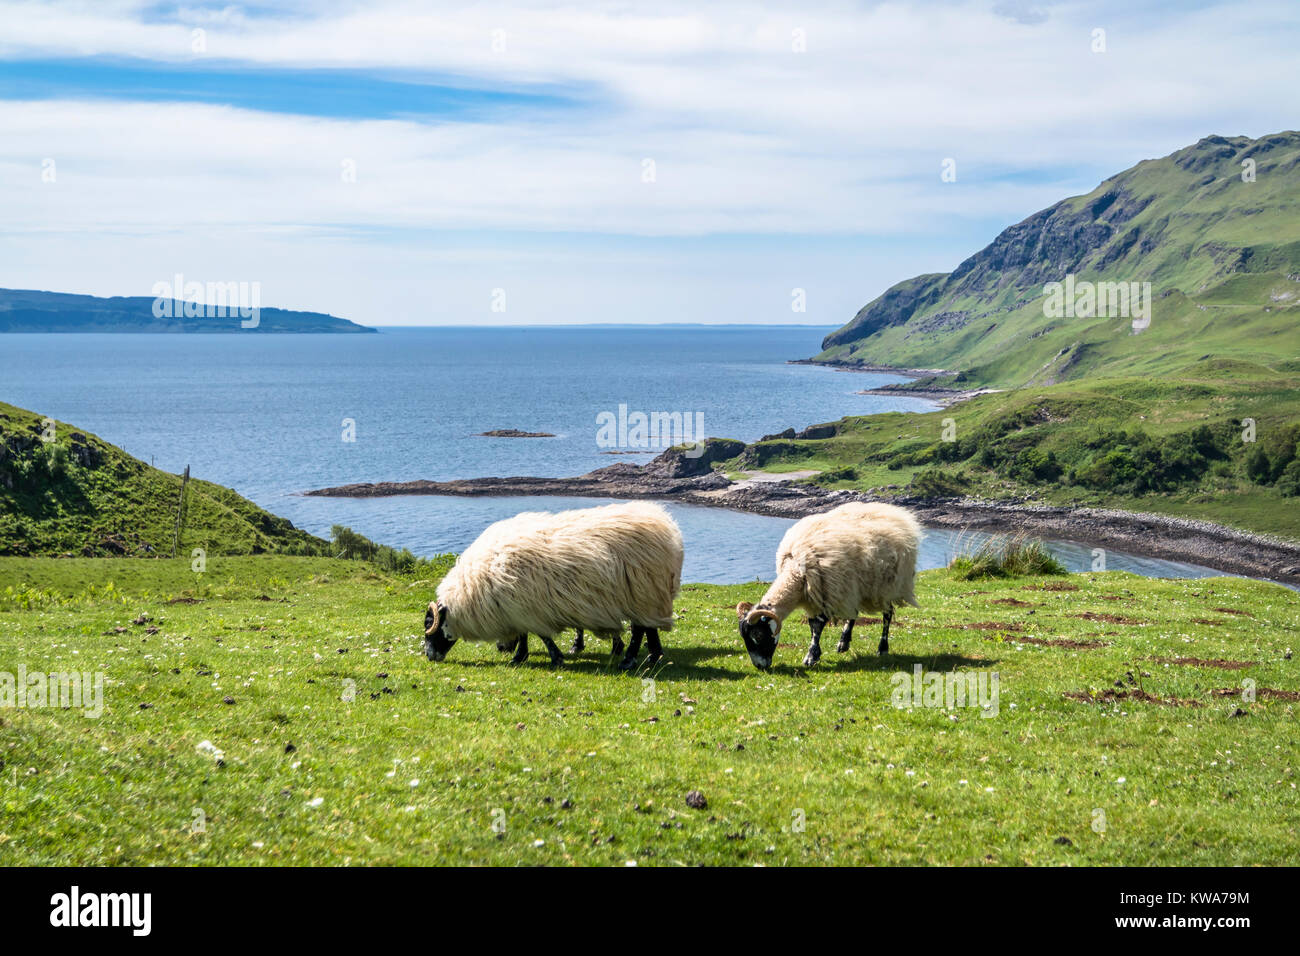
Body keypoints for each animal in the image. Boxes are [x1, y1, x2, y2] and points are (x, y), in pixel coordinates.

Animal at [423, 502, 686, 671]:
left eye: (428, 624)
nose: (429, 656)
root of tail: (668, 527)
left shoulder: (529, 609)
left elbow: (542, 636)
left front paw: (553, 658)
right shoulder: (519, 607)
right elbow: (525, 634)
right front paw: (521, 656)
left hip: (642, 593)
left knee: (639, 629)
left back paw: (630, 660)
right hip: (649, 595)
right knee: (648, 627)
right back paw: (653, 655)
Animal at [733, 504, 925, 671]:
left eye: (758, 635)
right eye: (744, 637)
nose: (760, 666)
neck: (796, 571)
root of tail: (891, 511)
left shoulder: (828, 593)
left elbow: (818, 626)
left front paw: (811, 657)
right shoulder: (817, 597)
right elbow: (812, 625)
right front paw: (816, 652)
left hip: (886, 586)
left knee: (887, 614)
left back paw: (882, 647)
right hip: (852, 587)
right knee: (853, 612)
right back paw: (844, 642)